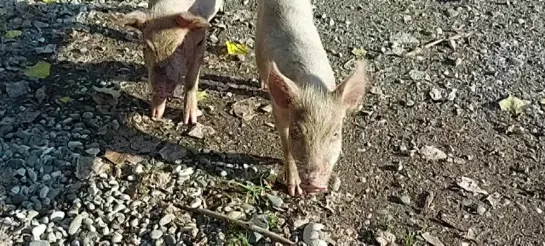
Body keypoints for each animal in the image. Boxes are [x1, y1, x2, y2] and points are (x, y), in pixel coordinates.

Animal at [255, 0, 370, 196]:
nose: (313, 184)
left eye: (335, 134)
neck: (312, 88)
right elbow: (286, 146)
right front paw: (294, 191)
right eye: (296, 132)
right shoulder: (278, 111)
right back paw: (262, 84)